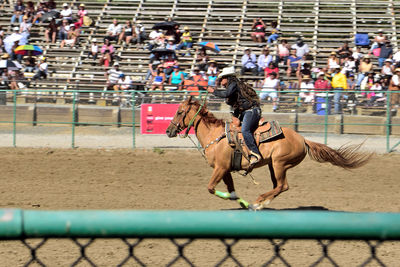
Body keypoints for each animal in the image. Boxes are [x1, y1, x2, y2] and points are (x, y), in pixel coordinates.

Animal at [166, 97, 372, 211]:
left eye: (180, 111)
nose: (169, 131)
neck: (215, 136)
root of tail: (302, 139)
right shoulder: (225, 170)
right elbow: (232, 191)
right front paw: (242, 203)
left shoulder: (220, 168)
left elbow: (210, 188)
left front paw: (247, 203)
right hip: (273, 165)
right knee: (279, 187)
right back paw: (259, 204)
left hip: (280, 163)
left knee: (282, 186)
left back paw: (258, 202)